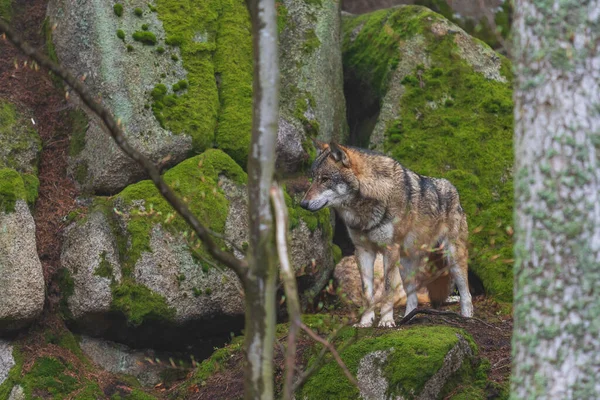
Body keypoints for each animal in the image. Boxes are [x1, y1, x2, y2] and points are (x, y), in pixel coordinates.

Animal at [300, 142, 474, 326]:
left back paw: (467, 318)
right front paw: (365, 322)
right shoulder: (363, 251)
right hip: (405, 266)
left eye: (325, 179)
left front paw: (386, 321)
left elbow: (387, 290)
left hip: (453, 259)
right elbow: (367, 293)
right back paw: (408, 319)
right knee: (413, 297)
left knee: (466, 293)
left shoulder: (389, 250)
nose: (302, 204)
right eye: (313, 178)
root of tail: (454, 189)